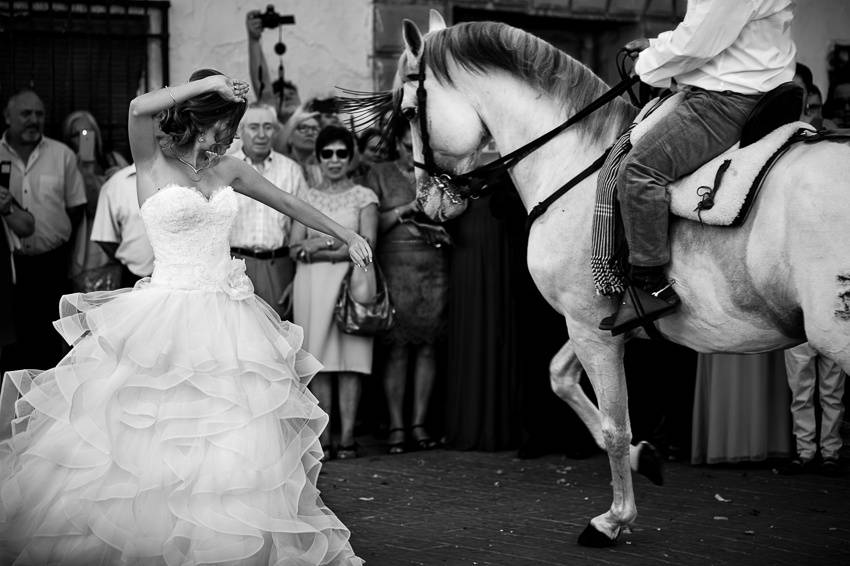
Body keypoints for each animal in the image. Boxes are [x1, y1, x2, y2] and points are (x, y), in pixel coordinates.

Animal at [394, 12, 848, 544]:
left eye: (408, 112)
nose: (425, 204)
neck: (574, 163)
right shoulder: (603, 322)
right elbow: (561, 379)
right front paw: (642, 458)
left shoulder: (589, 326)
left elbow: (615, 425)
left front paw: (613, 519)